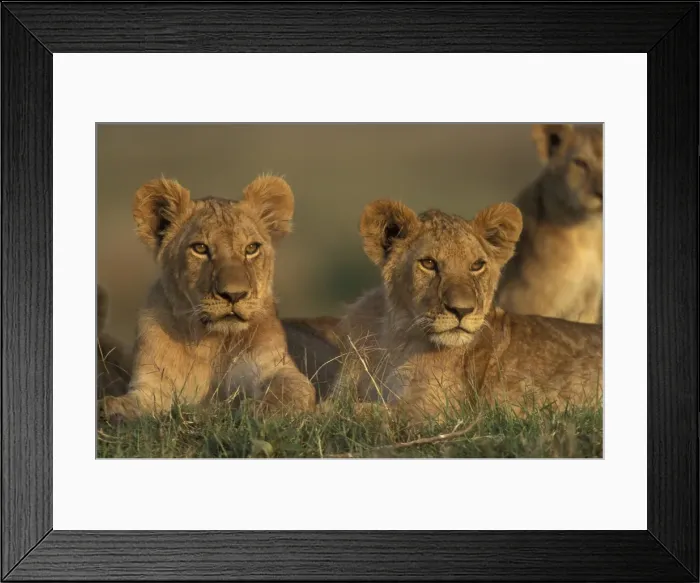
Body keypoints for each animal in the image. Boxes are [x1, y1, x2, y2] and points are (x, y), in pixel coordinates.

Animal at [101, 174, 317, 420]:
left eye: (251, 248)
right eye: (200, 248)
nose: (234, 294)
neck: (211, 342)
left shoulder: (276, 367)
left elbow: (289, 391)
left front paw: (260, 411)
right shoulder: (151, 386)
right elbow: (125, 403)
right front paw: (115, 410)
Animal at [330, 199, 603, 422]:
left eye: (477, 265)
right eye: (428, 263)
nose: (461, 310)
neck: (395, 336)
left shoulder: (435, 412)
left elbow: (355, 412)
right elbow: (338, 407)